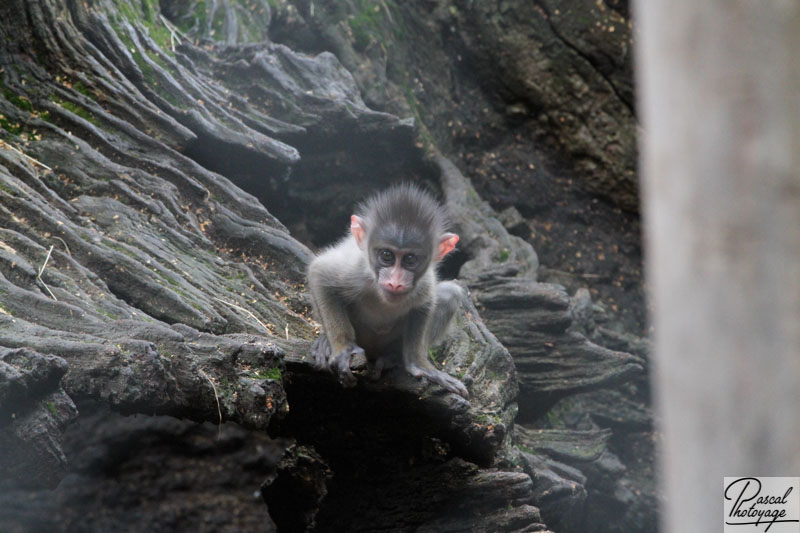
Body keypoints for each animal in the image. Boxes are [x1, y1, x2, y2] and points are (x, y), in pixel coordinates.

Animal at [306, 185, 468, 396]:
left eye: (410, 259)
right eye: (386, 256)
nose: (395, 283)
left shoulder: (424, 282)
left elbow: (426, 304)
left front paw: (418, 363)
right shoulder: (356, 269)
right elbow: (319, 272)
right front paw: (344, 349)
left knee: (450, 294)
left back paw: (392, 358)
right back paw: (326, 342)